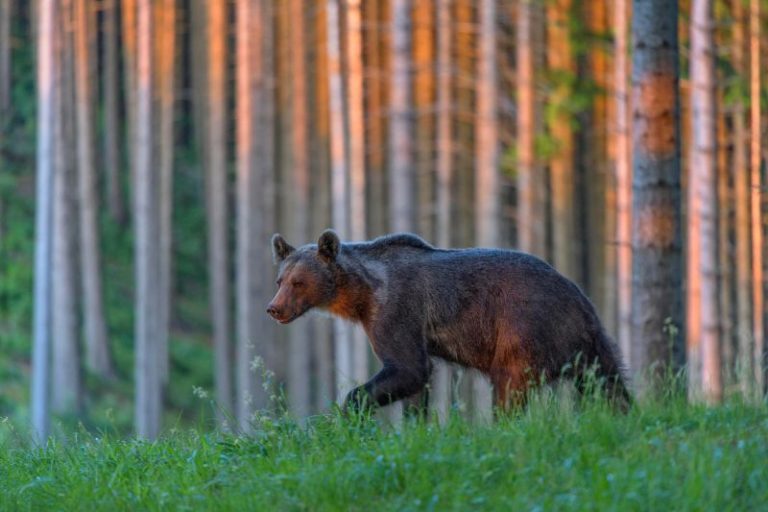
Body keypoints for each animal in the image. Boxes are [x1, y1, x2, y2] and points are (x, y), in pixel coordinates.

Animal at [267, 229, 631, 413]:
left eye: (298, 281)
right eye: (280, 279)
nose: (274, 308)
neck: (362, 295)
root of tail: (579, 300)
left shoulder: (397, 310)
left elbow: (407, 367)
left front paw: (352, 409)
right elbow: (415, 382)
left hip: (524, 327)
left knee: (509, 383)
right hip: (590, 343)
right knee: (610, 383)